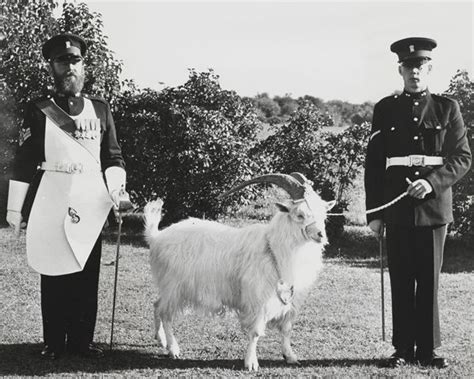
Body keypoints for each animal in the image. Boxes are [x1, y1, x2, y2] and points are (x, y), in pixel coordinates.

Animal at [143, 174, 334, 372]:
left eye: (323, 214)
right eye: (300, 215)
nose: (320, 235)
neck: (272, 248)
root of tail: (157, 237)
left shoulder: (290, 301)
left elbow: (286, 329)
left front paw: (290, 356)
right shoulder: (257, 299)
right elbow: (255, 332)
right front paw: (251, 362)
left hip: (169, 287)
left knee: (156, 305)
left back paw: (161, 340)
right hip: (174, 286)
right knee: (165, 313)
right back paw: (173, 349)